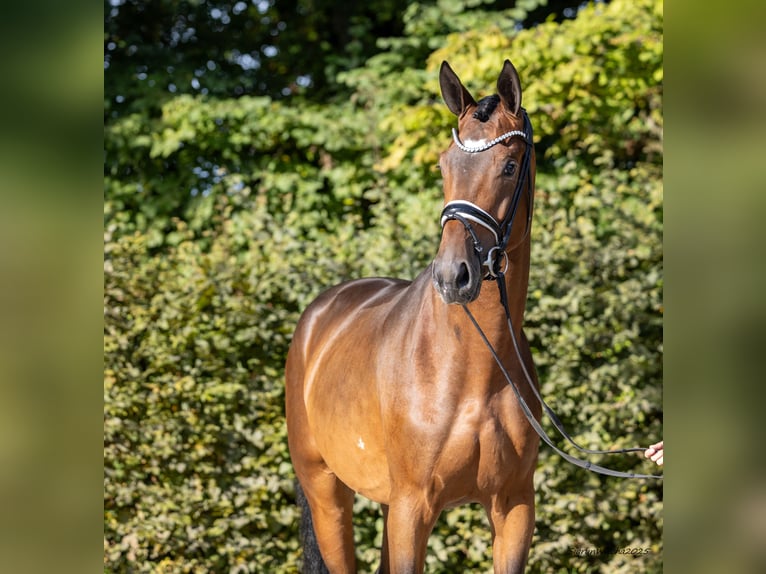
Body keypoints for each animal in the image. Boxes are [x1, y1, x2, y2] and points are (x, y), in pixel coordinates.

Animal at [285, 60, 541, 574]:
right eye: (445, 165)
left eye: (508, 166)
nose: (452, 274)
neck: (477, 373)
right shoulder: (413, 507)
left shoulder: (514, 506)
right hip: (327, 494)